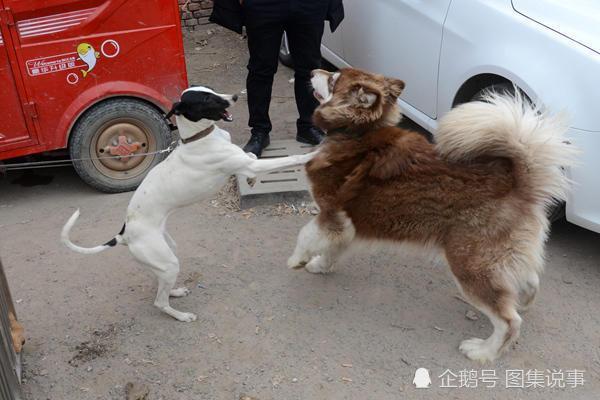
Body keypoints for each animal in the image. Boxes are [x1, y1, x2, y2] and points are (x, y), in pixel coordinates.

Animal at [61, 86, 314, 322]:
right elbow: (288, 159)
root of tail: (123, 234)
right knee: (159, 302)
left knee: (161, 285)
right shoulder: (246, 163)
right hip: (167, 261)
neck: (201, 137)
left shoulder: (244, 161)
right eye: (206, 99)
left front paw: (251, 180)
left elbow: (250, 158)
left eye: (210, 89)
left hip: (167, 255)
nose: (234, 97)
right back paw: (181, 315)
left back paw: (174, 291)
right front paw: (312, 154)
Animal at [290, 67, 576, 360]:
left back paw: (483, 351)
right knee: (529, 281)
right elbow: (332, 249)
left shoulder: (331, 214)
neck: (356, 133)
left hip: (469, 267)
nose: (312, 71)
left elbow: (305, 235)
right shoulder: (348, 224)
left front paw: (297, 260)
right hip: (502, 259)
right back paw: (522, 301)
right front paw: (319, 265)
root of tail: (516, 181)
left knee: (509, 322)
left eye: (332, 79)